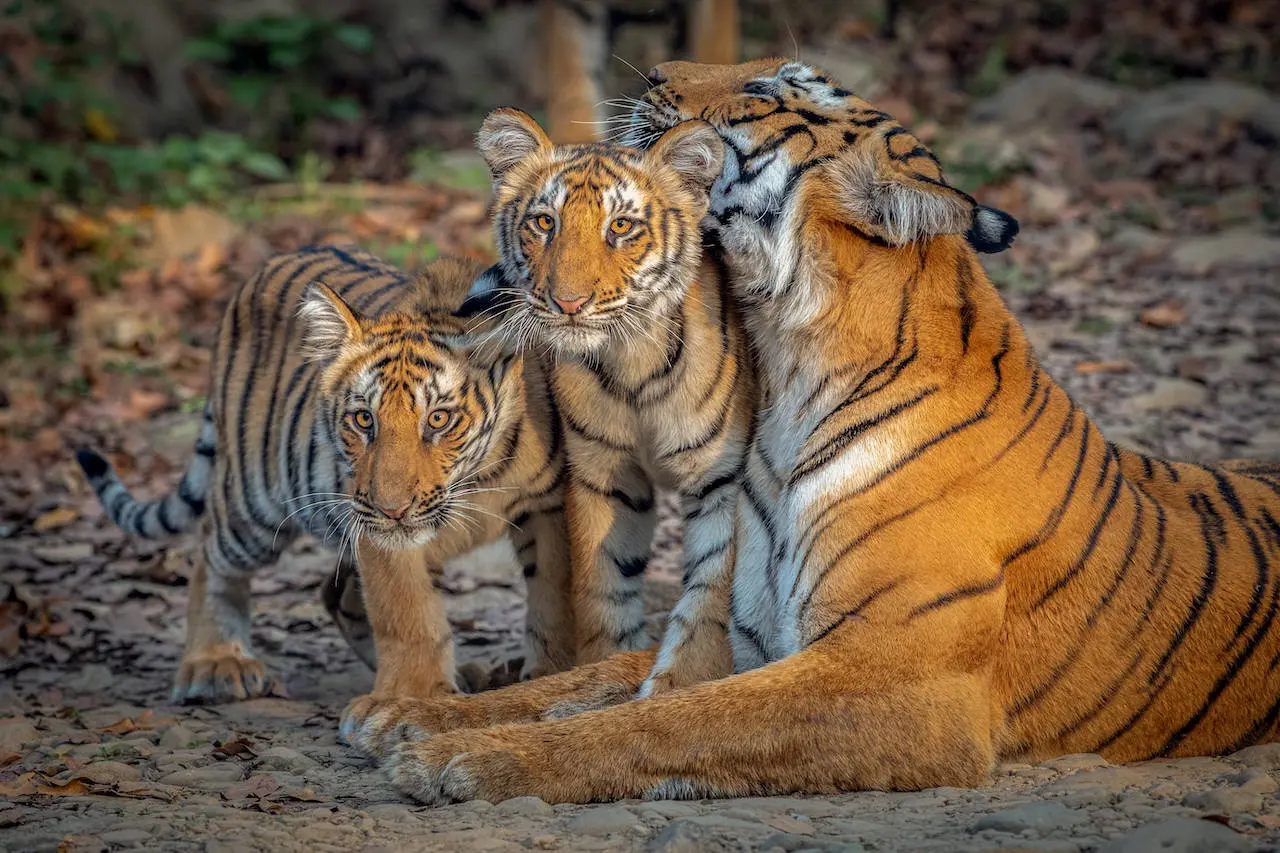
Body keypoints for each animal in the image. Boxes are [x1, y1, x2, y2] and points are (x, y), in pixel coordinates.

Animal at [76, 247, 573, 705]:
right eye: (363, 420)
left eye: (438, 419)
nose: (392, 509)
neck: (477, 480)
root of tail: (267, 263)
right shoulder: (374, 527)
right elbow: (406, 613)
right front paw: (413, 698)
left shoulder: (548, 507)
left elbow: (553, 596)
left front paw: (552, 671)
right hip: (254, 506)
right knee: (210, 555)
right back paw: (216, 663)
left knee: (336, 595)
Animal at [336, 58, 1280, 806]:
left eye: (766, 90)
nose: (654, 74)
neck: (791, 360)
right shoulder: (748, 630)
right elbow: (601, 680)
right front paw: (415, 715)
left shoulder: (900, 678)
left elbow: (670, 721)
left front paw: (461, 756)